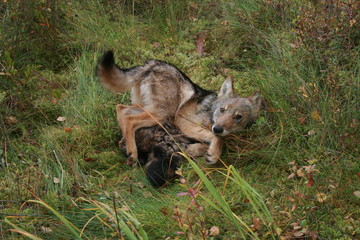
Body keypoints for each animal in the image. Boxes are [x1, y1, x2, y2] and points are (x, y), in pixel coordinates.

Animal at [97, 50, 262, 171]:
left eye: (238, 117)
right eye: (222, 109)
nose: (218, 128)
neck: (210, 113)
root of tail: (152, 64)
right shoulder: (187, 125)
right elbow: (219, 140)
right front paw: (213, 155)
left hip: (147, 110)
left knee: (121, 109)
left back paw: (125, 146)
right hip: (162, 115)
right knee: (129, 119)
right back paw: (132, 154)